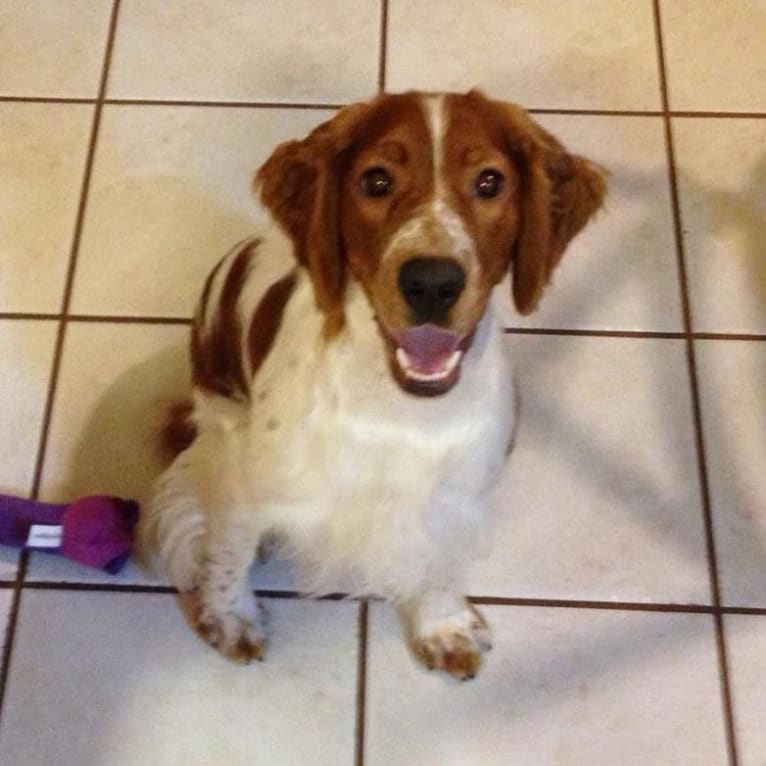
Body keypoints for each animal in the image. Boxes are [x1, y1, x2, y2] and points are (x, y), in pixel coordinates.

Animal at [136, 87, 608, 680]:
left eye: (489, 182)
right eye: (377, 181)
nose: (431, 282)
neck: (399, 408)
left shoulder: (457, 495)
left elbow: (439, 561)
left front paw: (442, 626)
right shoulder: (248, 485)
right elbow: (229, 552)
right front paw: (230, 618)